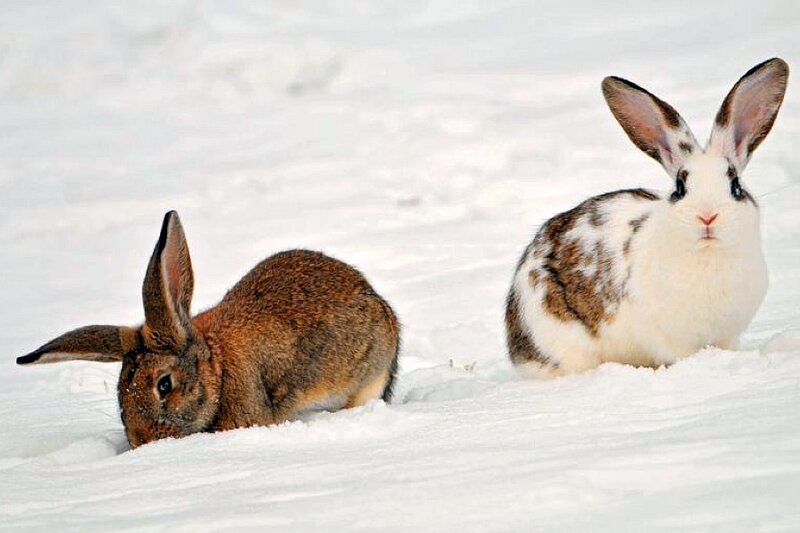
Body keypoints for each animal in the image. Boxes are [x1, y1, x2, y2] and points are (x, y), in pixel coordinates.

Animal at [506, 58, 789, 378]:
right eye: (680, 188)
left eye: (735, 186)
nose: (707, 217)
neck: (708, 255)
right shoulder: (668, 338)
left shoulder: (727, 335)